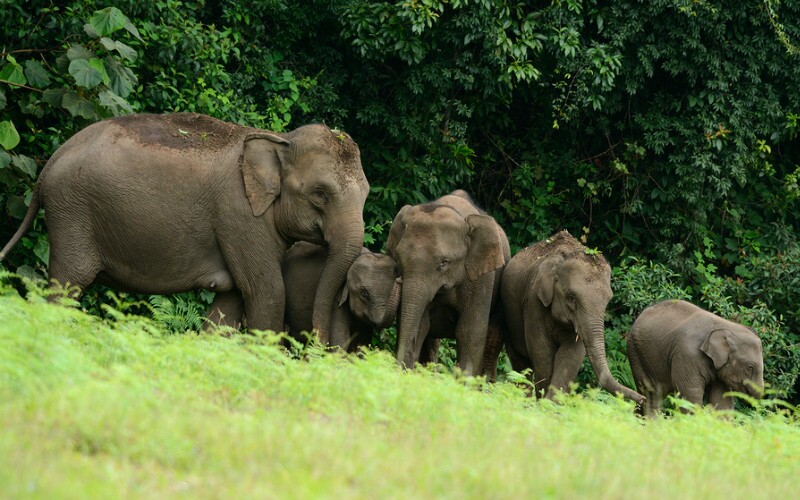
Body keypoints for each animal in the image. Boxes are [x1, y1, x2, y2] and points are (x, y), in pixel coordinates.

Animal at [0, 113, 368, 340]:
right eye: (320, 194)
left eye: (366, 194)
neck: (279, 139)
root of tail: (49, 165)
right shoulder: (240, 216)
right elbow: (267, 292)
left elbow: (231, 302)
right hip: (71, 213)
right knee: (66, 286)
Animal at [504, 230, 648, 406]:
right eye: (571, 298)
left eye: (608, 300)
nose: (642, 399)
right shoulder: (533, 302)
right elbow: (542, 351)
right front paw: (544, 403)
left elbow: (573, 354)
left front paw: (554, 403)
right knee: (520, 361)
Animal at [624, 298, 764, 416]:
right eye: (750, 367)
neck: (725, 326)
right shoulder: (687, 355)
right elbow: (690, 394)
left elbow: (722, 400)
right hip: (636, 352)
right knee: (650, 392)